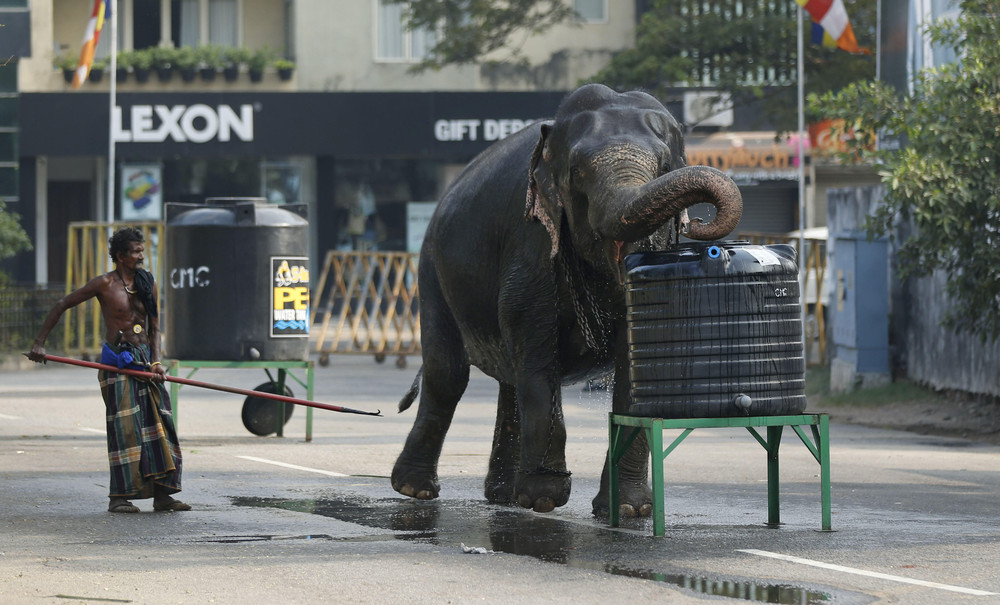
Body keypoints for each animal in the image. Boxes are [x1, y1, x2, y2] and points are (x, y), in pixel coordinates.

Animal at [390, 82, 744, 516]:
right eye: (579, 173)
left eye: (664, 166)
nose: (697, 223)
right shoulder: (532, 241)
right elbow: (537, 355)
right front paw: (544, 498)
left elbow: (638, 367)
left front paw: (627, 511)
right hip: (432, 270)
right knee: (449, 373)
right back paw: (416, 490)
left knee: (509, 380)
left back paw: (502, 496)